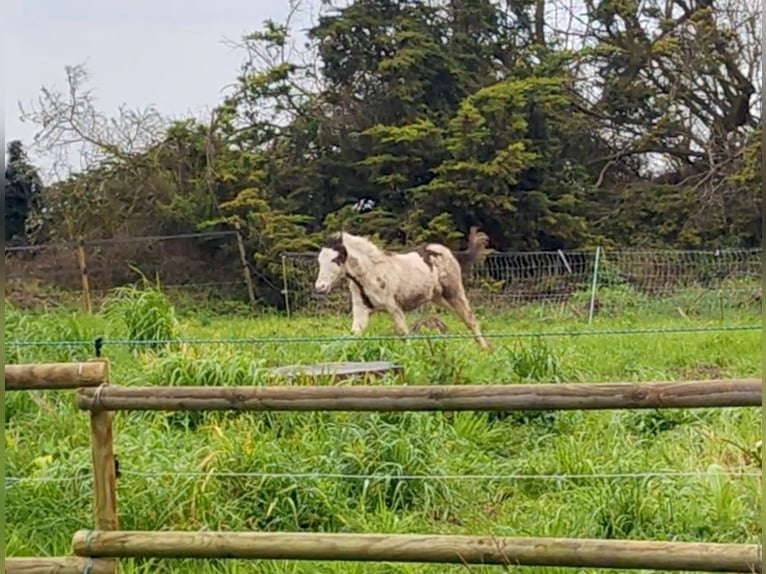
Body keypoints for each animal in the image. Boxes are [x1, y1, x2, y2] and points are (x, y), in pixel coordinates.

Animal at [313, 227, 491, 350]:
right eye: (320, 260)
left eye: (336, 258)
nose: (320, 287)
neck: (371, 273)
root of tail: (450, 253)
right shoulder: (361, 309)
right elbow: (355, 333)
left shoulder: (394, 307)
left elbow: (403, 333)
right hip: (438, 298)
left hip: (453, 292)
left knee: (470, 318)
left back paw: (485, 349)